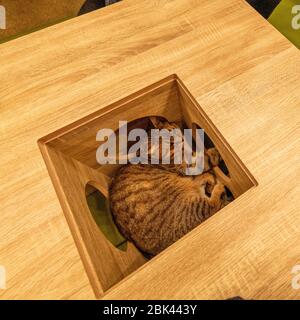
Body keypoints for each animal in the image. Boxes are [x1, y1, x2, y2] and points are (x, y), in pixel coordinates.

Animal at [109, 119, 229, 256]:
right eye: (170, 145)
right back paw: (218, 188)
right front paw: (216, 153)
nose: (180, 140)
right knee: (212, 205)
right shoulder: (187, 165)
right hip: (191, 206)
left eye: (171, 132)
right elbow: (206, 158)